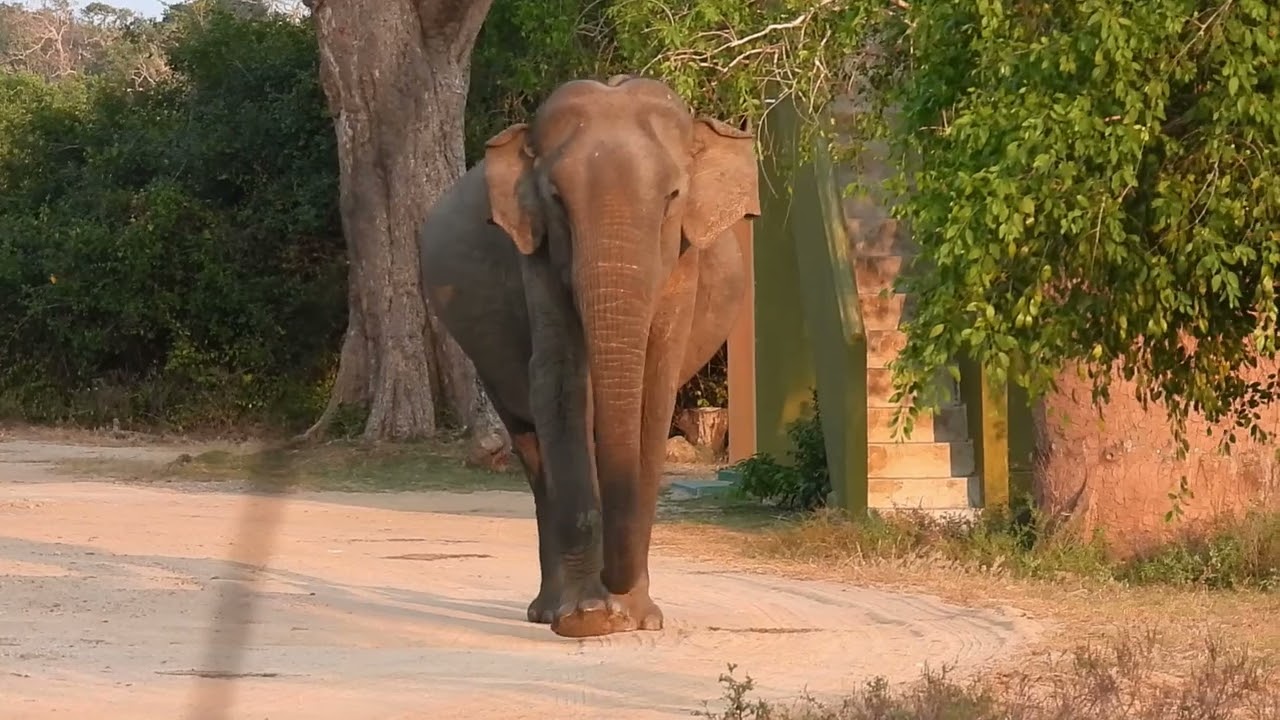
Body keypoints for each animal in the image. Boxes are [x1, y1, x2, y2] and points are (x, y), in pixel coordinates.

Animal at [418, 75, 760, 638]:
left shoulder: (683, 261)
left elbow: (654, 386)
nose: (612, 598)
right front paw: (586, 620)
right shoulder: (535, 255)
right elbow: (559, 384)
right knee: (532, 448)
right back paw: (547, 611)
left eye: (672, 197)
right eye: (556, 199)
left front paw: (639, 620)